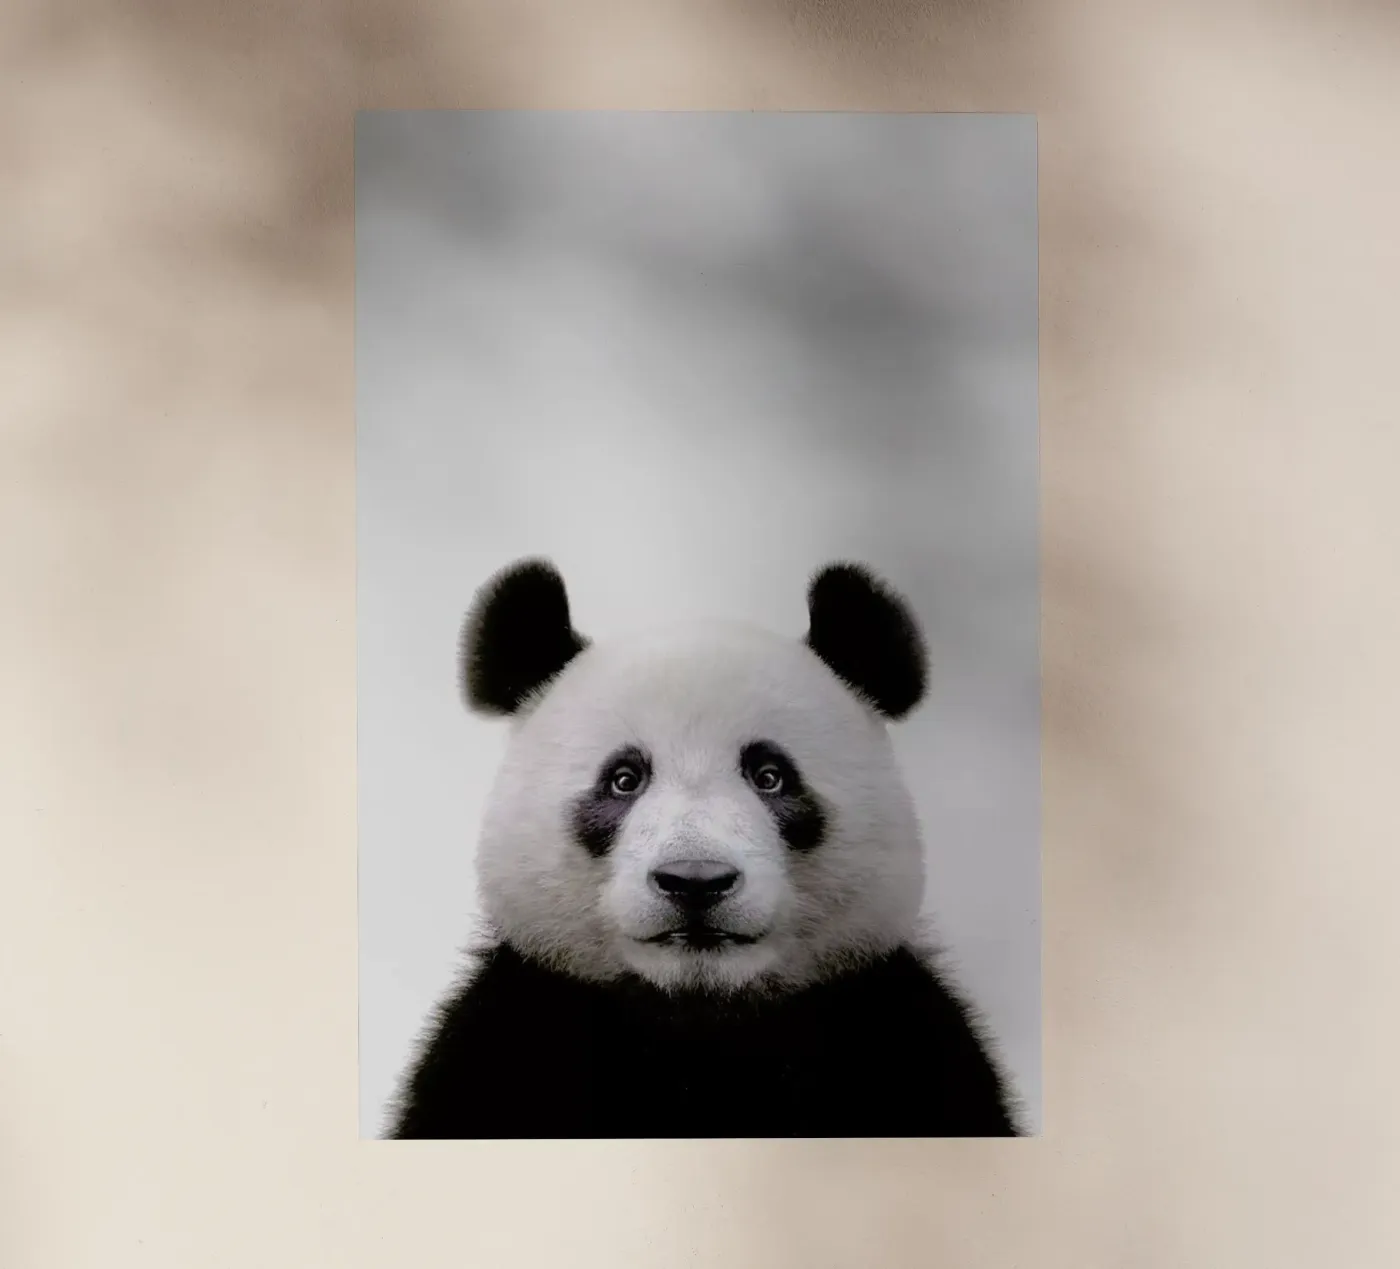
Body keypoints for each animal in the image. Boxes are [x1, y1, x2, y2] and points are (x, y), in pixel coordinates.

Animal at [387, 557, 1020, 1139]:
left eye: (770, 776)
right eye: (624, 779)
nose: (695, 880)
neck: (698, 1023)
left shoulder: (904, 1038)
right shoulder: (507, 1039)